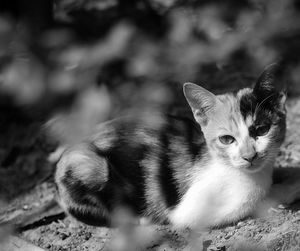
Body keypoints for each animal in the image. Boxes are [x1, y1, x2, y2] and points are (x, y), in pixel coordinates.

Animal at [54, 64, 290, 229]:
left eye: (261, 130)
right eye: (227, 139)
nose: (249, 156)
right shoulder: (187, 213)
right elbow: (254, 202)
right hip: (92, 167)